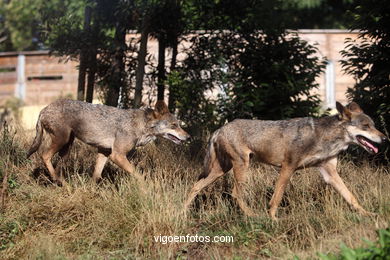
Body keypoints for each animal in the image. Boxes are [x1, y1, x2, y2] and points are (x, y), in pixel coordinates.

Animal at [27, 98, 189, 184]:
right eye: (174, 125)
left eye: (179, 124)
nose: (188, 137)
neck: (140, 125)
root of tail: (43, 110)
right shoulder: (117, 155)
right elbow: (138, 175)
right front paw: (147, 188)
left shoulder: (104, 152)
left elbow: (96, 176)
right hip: (62, 140)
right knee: (44, 155)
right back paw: (56, 179)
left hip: (67, 146)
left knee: (57, 164)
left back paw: (62, 183)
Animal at [185, 101, 386, 219]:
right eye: (365, 126)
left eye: (374, 125)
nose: (385, 139)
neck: (325, 137)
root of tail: (220, 129)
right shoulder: (287, 167)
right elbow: (276, 198)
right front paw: (273, 220)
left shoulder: (329, 174)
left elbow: (351, 197)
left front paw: (368, 214)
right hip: (241, 168)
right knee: (235, 194)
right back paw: (254, 216)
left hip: (221, 170)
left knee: (195, 186)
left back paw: (183, 213)